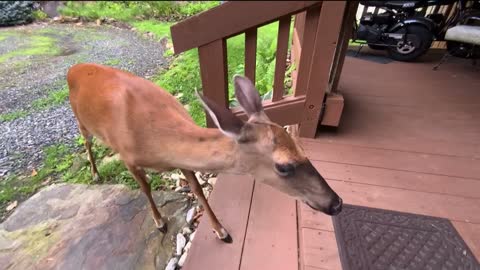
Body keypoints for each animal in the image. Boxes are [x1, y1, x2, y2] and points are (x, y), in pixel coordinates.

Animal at [67, 62, 344, 243]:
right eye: (283, 166)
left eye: (302, 148)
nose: (337, 203)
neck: (158, 143)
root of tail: (73, 68)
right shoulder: (128, 158)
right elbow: (145, 189)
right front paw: (159, 222)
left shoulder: (182, 162)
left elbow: (199, 190)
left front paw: (221, 231)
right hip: (81, 122)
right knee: (87, 142)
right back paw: (95, 174)